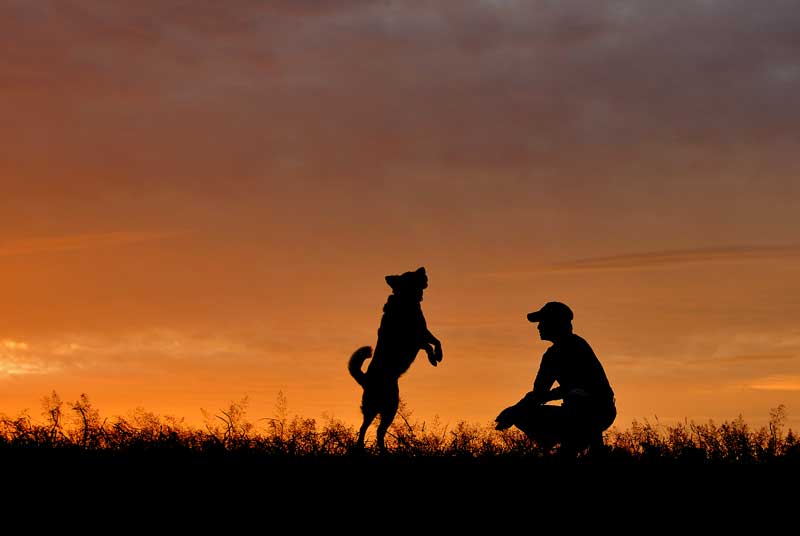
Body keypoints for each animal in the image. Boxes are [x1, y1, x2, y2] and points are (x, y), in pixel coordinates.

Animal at [346, 266, 440, 450]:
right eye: (410, 274)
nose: (422, 267)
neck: (405, 299)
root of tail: (365, 379)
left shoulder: (423, 331)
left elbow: (436, 341)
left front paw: (438, 356)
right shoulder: (415, 338)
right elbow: (428, 345)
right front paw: (433, 357)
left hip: (377, 409)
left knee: (365, 429)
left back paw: (366, 449)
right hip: (388, 407)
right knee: (376, 431)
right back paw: (380, 450)